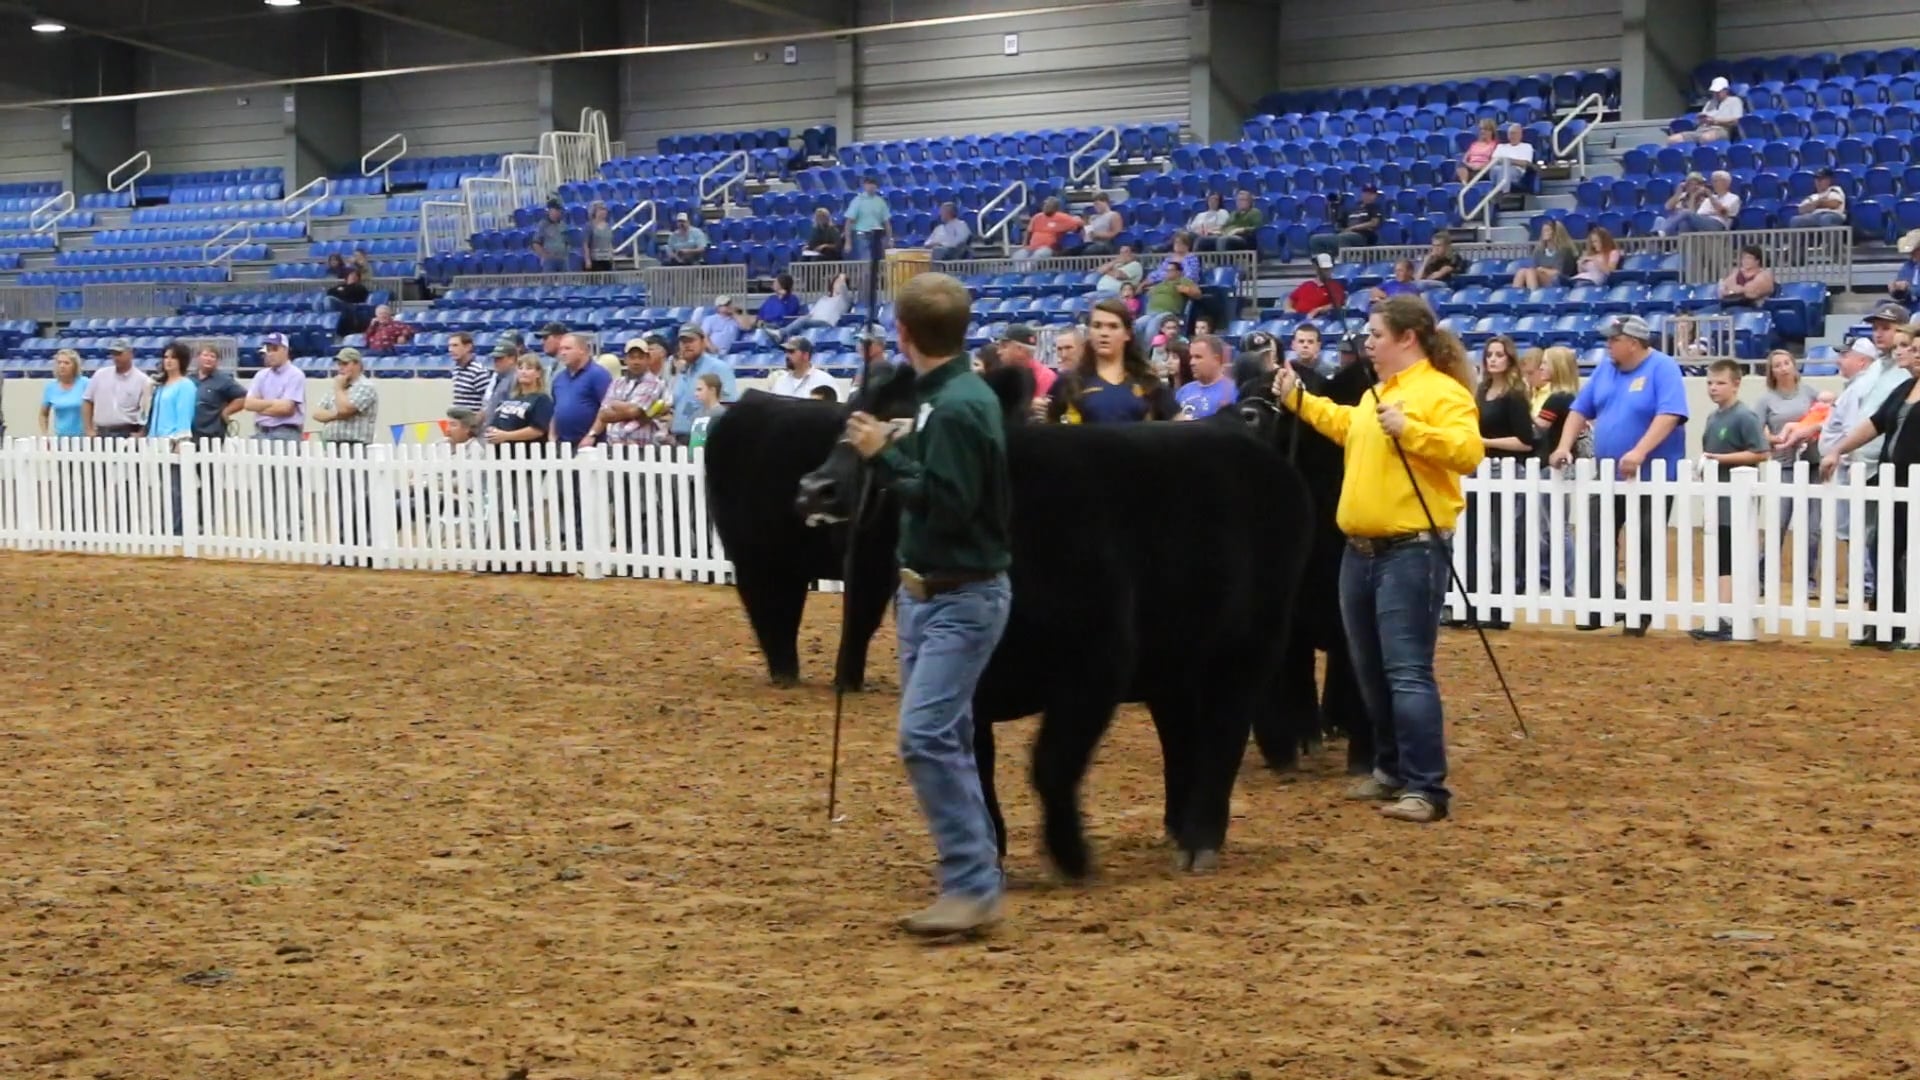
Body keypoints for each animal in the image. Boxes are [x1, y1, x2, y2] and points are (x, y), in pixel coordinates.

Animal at [787, 361, 1313, 876]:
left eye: (907, 422)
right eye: (848, 416)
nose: (816, 489)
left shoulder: (1098, 667)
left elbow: (1051, 764)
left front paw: (1070, 854)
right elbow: (979, 766)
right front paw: (990, 852)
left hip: (1250, 644)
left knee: (1225, 731)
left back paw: (1200, 841)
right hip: (1177, 657)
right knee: (1181, 735)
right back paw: (1177, 828)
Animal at [1236, 361, 1374, 772]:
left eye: (1298, 392)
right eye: (1242, 390)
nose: (1246, 415)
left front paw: (1362, 754)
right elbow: (1287, 682)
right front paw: (1285, 750)